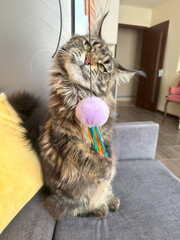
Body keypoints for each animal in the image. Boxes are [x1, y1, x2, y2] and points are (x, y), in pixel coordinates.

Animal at [38, 14, 143, 221]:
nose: (87, 59)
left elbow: (105, 168)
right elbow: (80, 150)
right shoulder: (60, 136)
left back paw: (110, 201)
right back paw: (99, 208)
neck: (77, 95)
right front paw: (103, 167)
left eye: (102, 67)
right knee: (77, 208)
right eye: (87, 46)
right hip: (63, 199)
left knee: (103, 192)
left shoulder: (105, 138)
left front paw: (108, 169)